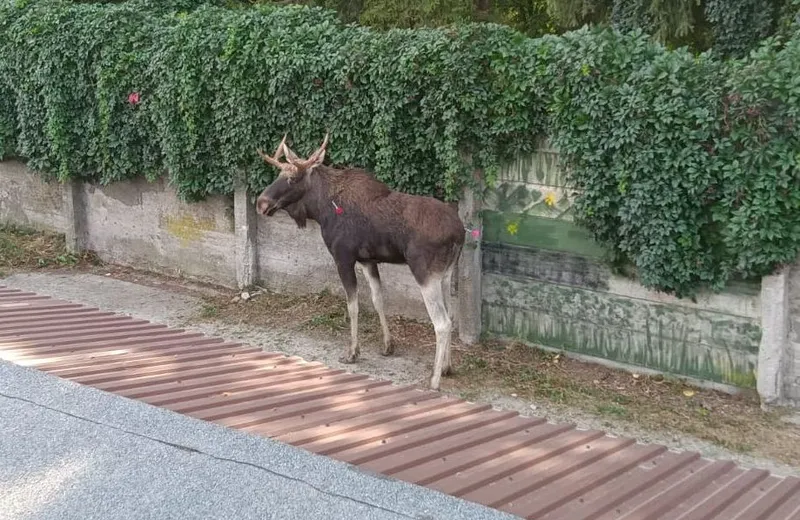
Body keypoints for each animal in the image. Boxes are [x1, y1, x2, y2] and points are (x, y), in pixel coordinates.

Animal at [256, 134, 466, 390]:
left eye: (293, 178)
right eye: (278, 175)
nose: (261, 203)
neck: (321, 209)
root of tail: (460, 233)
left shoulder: (343, 257)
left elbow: (353, 305)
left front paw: (352, 352)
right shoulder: (368, 260)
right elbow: (377, 299)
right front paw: (388, 345)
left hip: (425, 272)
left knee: (442, 323)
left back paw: (434, 380)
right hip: (445, 274)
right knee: (451, 317)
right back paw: (447, 367)